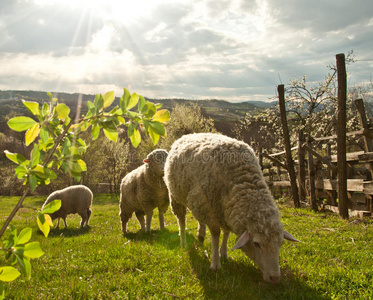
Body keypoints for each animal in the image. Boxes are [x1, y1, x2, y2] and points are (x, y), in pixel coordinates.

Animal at [164, 133, 298, 284]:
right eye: (256, 244)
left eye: (281, 243)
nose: (275, 278)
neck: (243, 182)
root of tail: (188, 135)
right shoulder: (212, 209)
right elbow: (216, 234)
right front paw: (215, 263)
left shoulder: (224, 209)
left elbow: (226, 232)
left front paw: (224, 253)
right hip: (177, 196)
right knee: (181, 220)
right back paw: (183, 242)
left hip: (198, 202)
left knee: (199, 220)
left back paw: (201, 234)